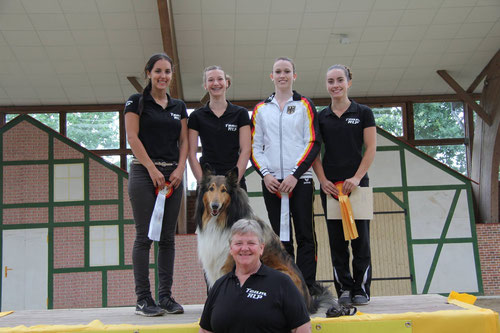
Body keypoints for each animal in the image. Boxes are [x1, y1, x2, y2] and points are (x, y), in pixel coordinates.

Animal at [195, 166, 332, 314]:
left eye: (224, 190)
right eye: (211, 188)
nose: (214, 206)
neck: (222, 222)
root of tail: (310, 303)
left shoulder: (228, 263)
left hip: (281, 274)